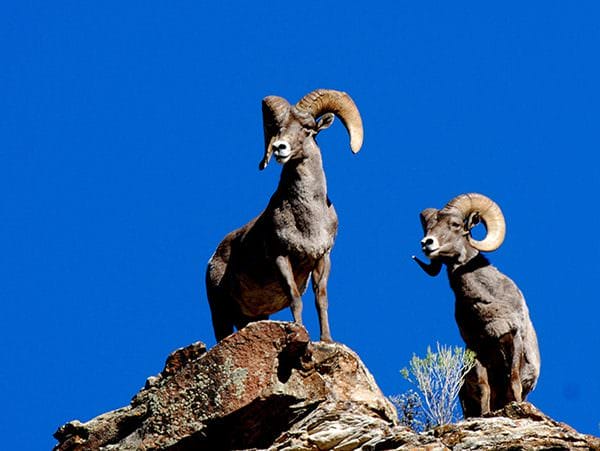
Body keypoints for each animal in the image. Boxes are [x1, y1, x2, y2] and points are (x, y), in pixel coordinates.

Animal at [206, 89, 364, 342]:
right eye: (279, 128)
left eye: (308, 129)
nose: (280, 148)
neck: (309, 222)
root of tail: (213, 258)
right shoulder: (282, 257)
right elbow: (295, 298)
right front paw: (300, 330)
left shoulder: (323, 258)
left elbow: (321, 300)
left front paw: (326, 340)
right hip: (220, 314)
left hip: (250, 317)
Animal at [414, 193, 540, 416]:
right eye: (428, 227)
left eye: (455, 224)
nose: (426, 243)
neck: (488, 301)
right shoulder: (477, 349)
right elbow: (484, 388)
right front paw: (485, 414)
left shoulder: (514, 338)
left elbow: (514, 380)